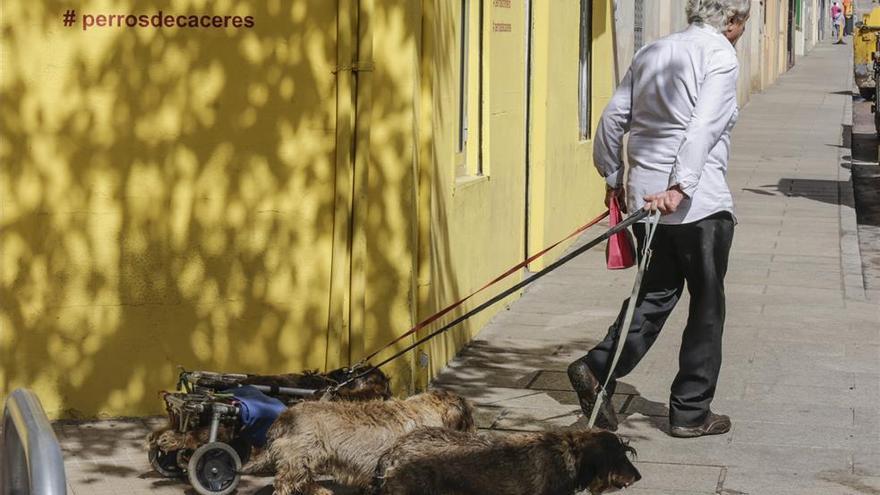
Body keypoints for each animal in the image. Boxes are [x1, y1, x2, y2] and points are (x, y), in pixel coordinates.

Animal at [244, 392, 478, 495]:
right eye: (470, 417)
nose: (476, 434)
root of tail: (282, 418)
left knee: (304, 480)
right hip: (299, 458)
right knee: (286, 483)